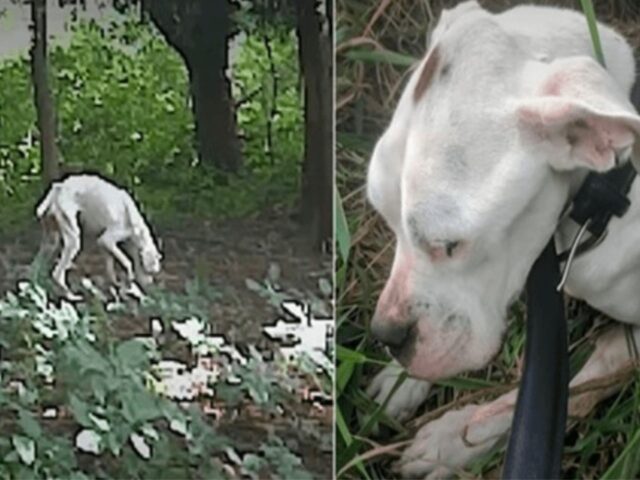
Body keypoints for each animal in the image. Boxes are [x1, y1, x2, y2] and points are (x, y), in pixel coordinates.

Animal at [35, 172, 162, 300]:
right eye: (150, 272)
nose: (150, 284)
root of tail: (59, 186)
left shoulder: (103, 245)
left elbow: (110, 267)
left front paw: (115, 286)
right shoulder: (107, 240)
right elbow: (127, 262)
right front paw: (128, 280)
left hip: (51, 240)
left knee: (38, 267)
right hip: (73, 240)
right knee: (57, 274)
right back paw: (71, 296)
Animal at [368, 1, 640, 478]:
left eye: (450, 244)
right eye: (386, 219)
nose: (388, 336)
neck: (609, 191)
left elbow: (576, 383)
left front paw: (455, 440)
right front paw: (401, 382)